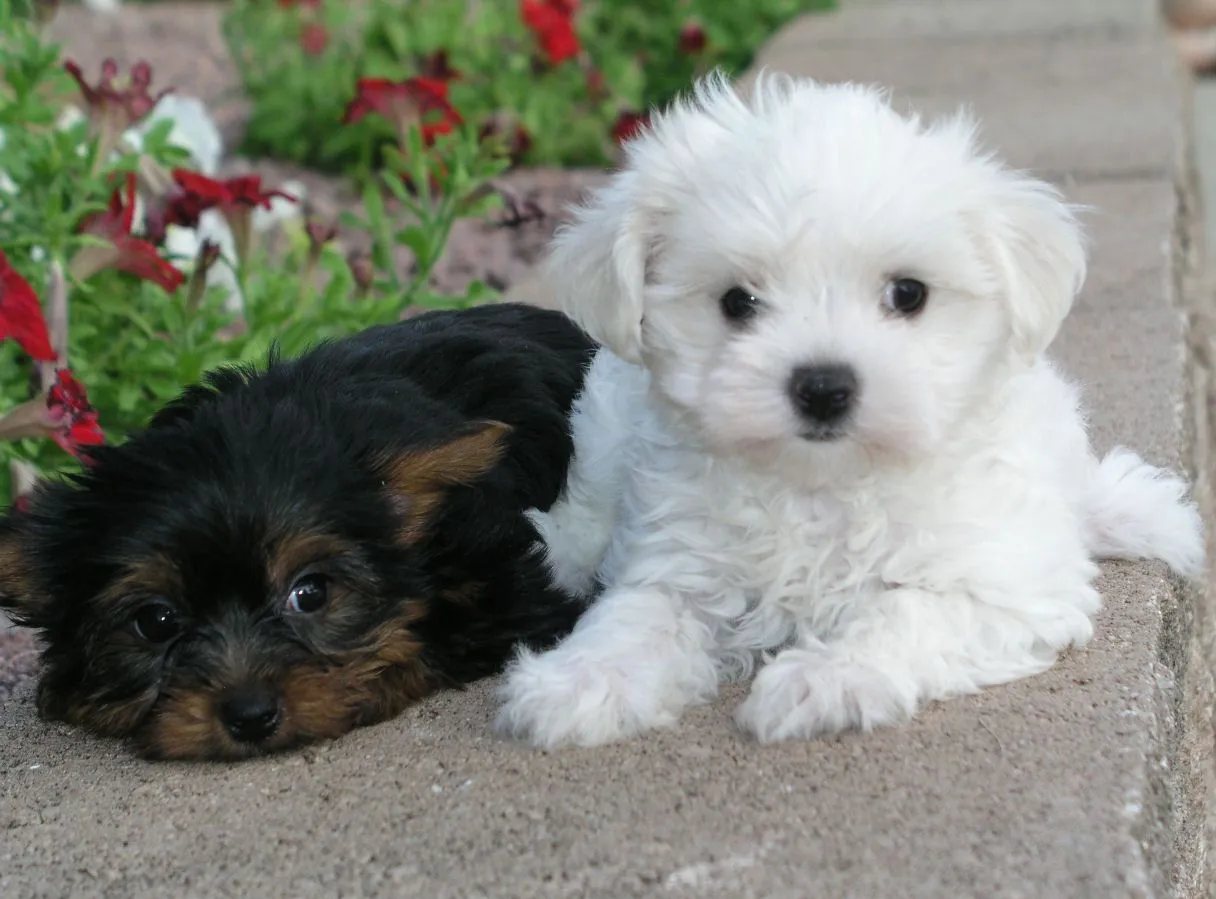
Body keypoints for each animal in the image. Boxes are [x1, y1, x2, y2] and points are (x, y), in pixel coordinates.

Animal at [496, 70, 1206, 749]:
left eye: (909, 293)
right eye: (737, 302)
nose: (823, 387)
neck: (823, 486)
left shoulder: (1003, 587)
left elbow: (907, 612)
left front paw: (826, 678)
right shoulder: (679, 560)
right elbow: (638, 615)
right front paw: (583, 679)